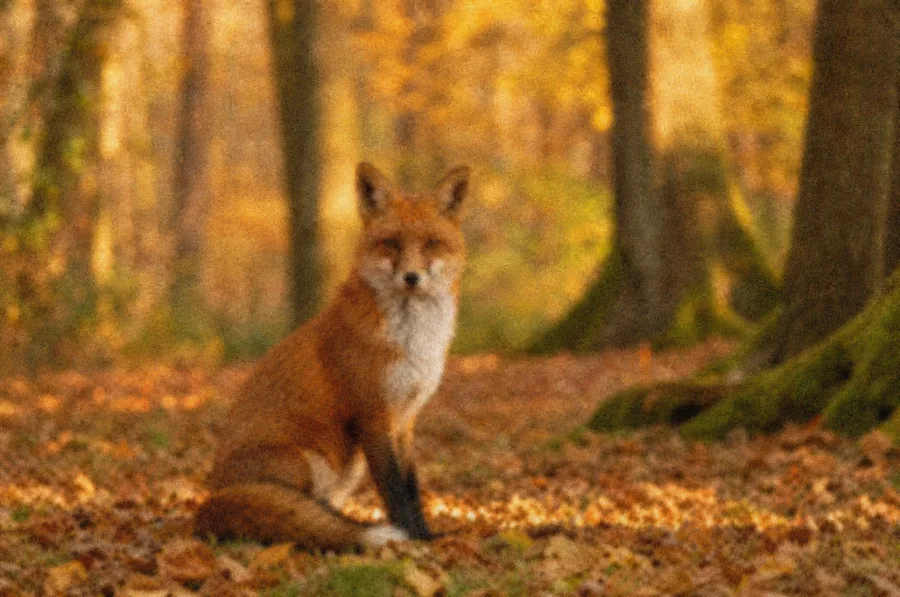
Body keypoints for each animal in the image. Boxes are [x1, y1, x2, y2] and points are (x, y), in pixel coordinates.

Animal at [193, 162, 470, 550]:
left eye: (431, 243)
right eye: (391, 243)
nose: (411, 277)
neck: (413, 340)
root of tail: (212, 497)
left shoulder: (405, 419)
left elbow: (412, 487)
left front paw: (426, 534)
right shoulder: (374, 413)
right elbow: (394, 490)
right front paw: (411, 539)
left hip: (348, 466)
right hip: (310, 460)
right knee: (296, 513)